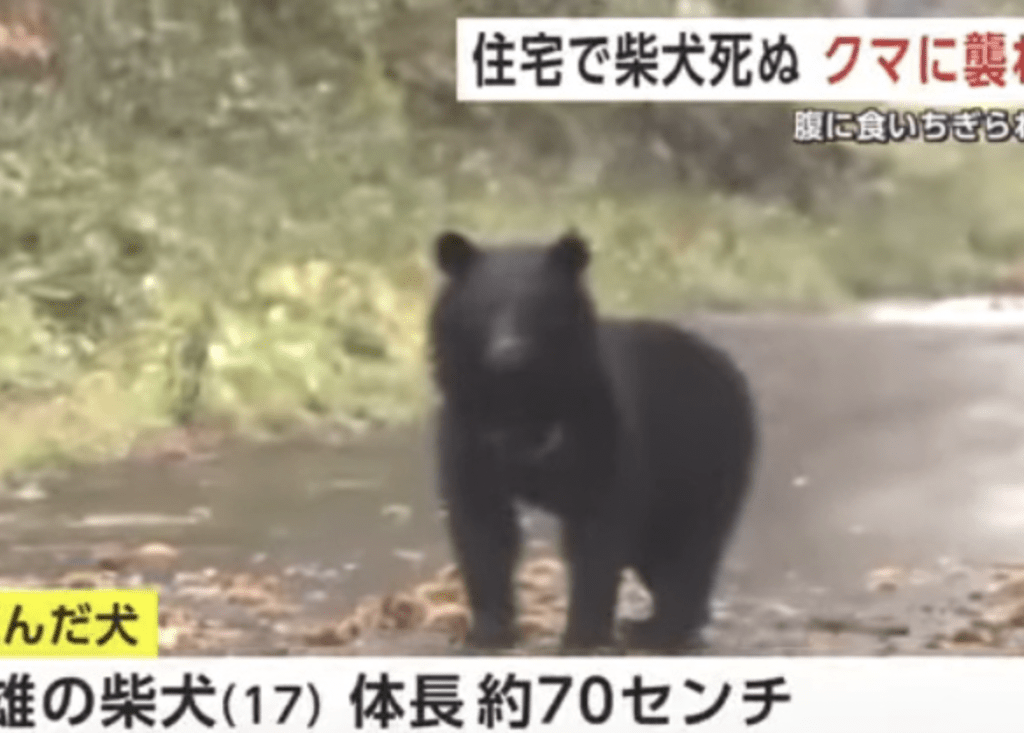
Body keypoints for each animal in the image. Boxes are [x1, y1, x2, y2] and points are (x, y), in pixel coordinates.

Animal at [428, 228, 758, 654]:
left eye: (537, 307)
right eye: (484, 307)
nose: (508, 354)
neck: (519, 398)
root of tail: (726, 366)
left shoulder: (599, 424)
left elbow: (597, 532)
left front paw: (582, 638)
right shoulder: (469, 429)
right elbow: (481, 524)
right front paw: (487, 633)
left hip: (704, 456)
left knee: (690, 548)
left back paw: (661, 633)